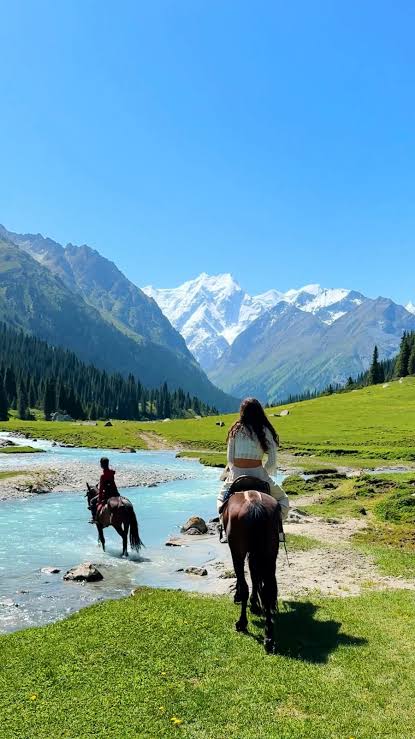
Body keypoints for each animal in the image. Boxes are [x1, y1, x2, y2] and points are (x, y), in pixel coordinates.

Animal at [222, 485, 280, 653]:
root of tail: (254, 504)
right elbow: (255, 576)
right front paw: (255, 604)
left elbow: (246, 579)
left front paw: (239, 597)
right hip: (270, 553)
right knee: (267, 590)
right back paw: (269, 637)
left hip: (237, 552)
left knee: (245, 585)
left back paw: (242, 623)